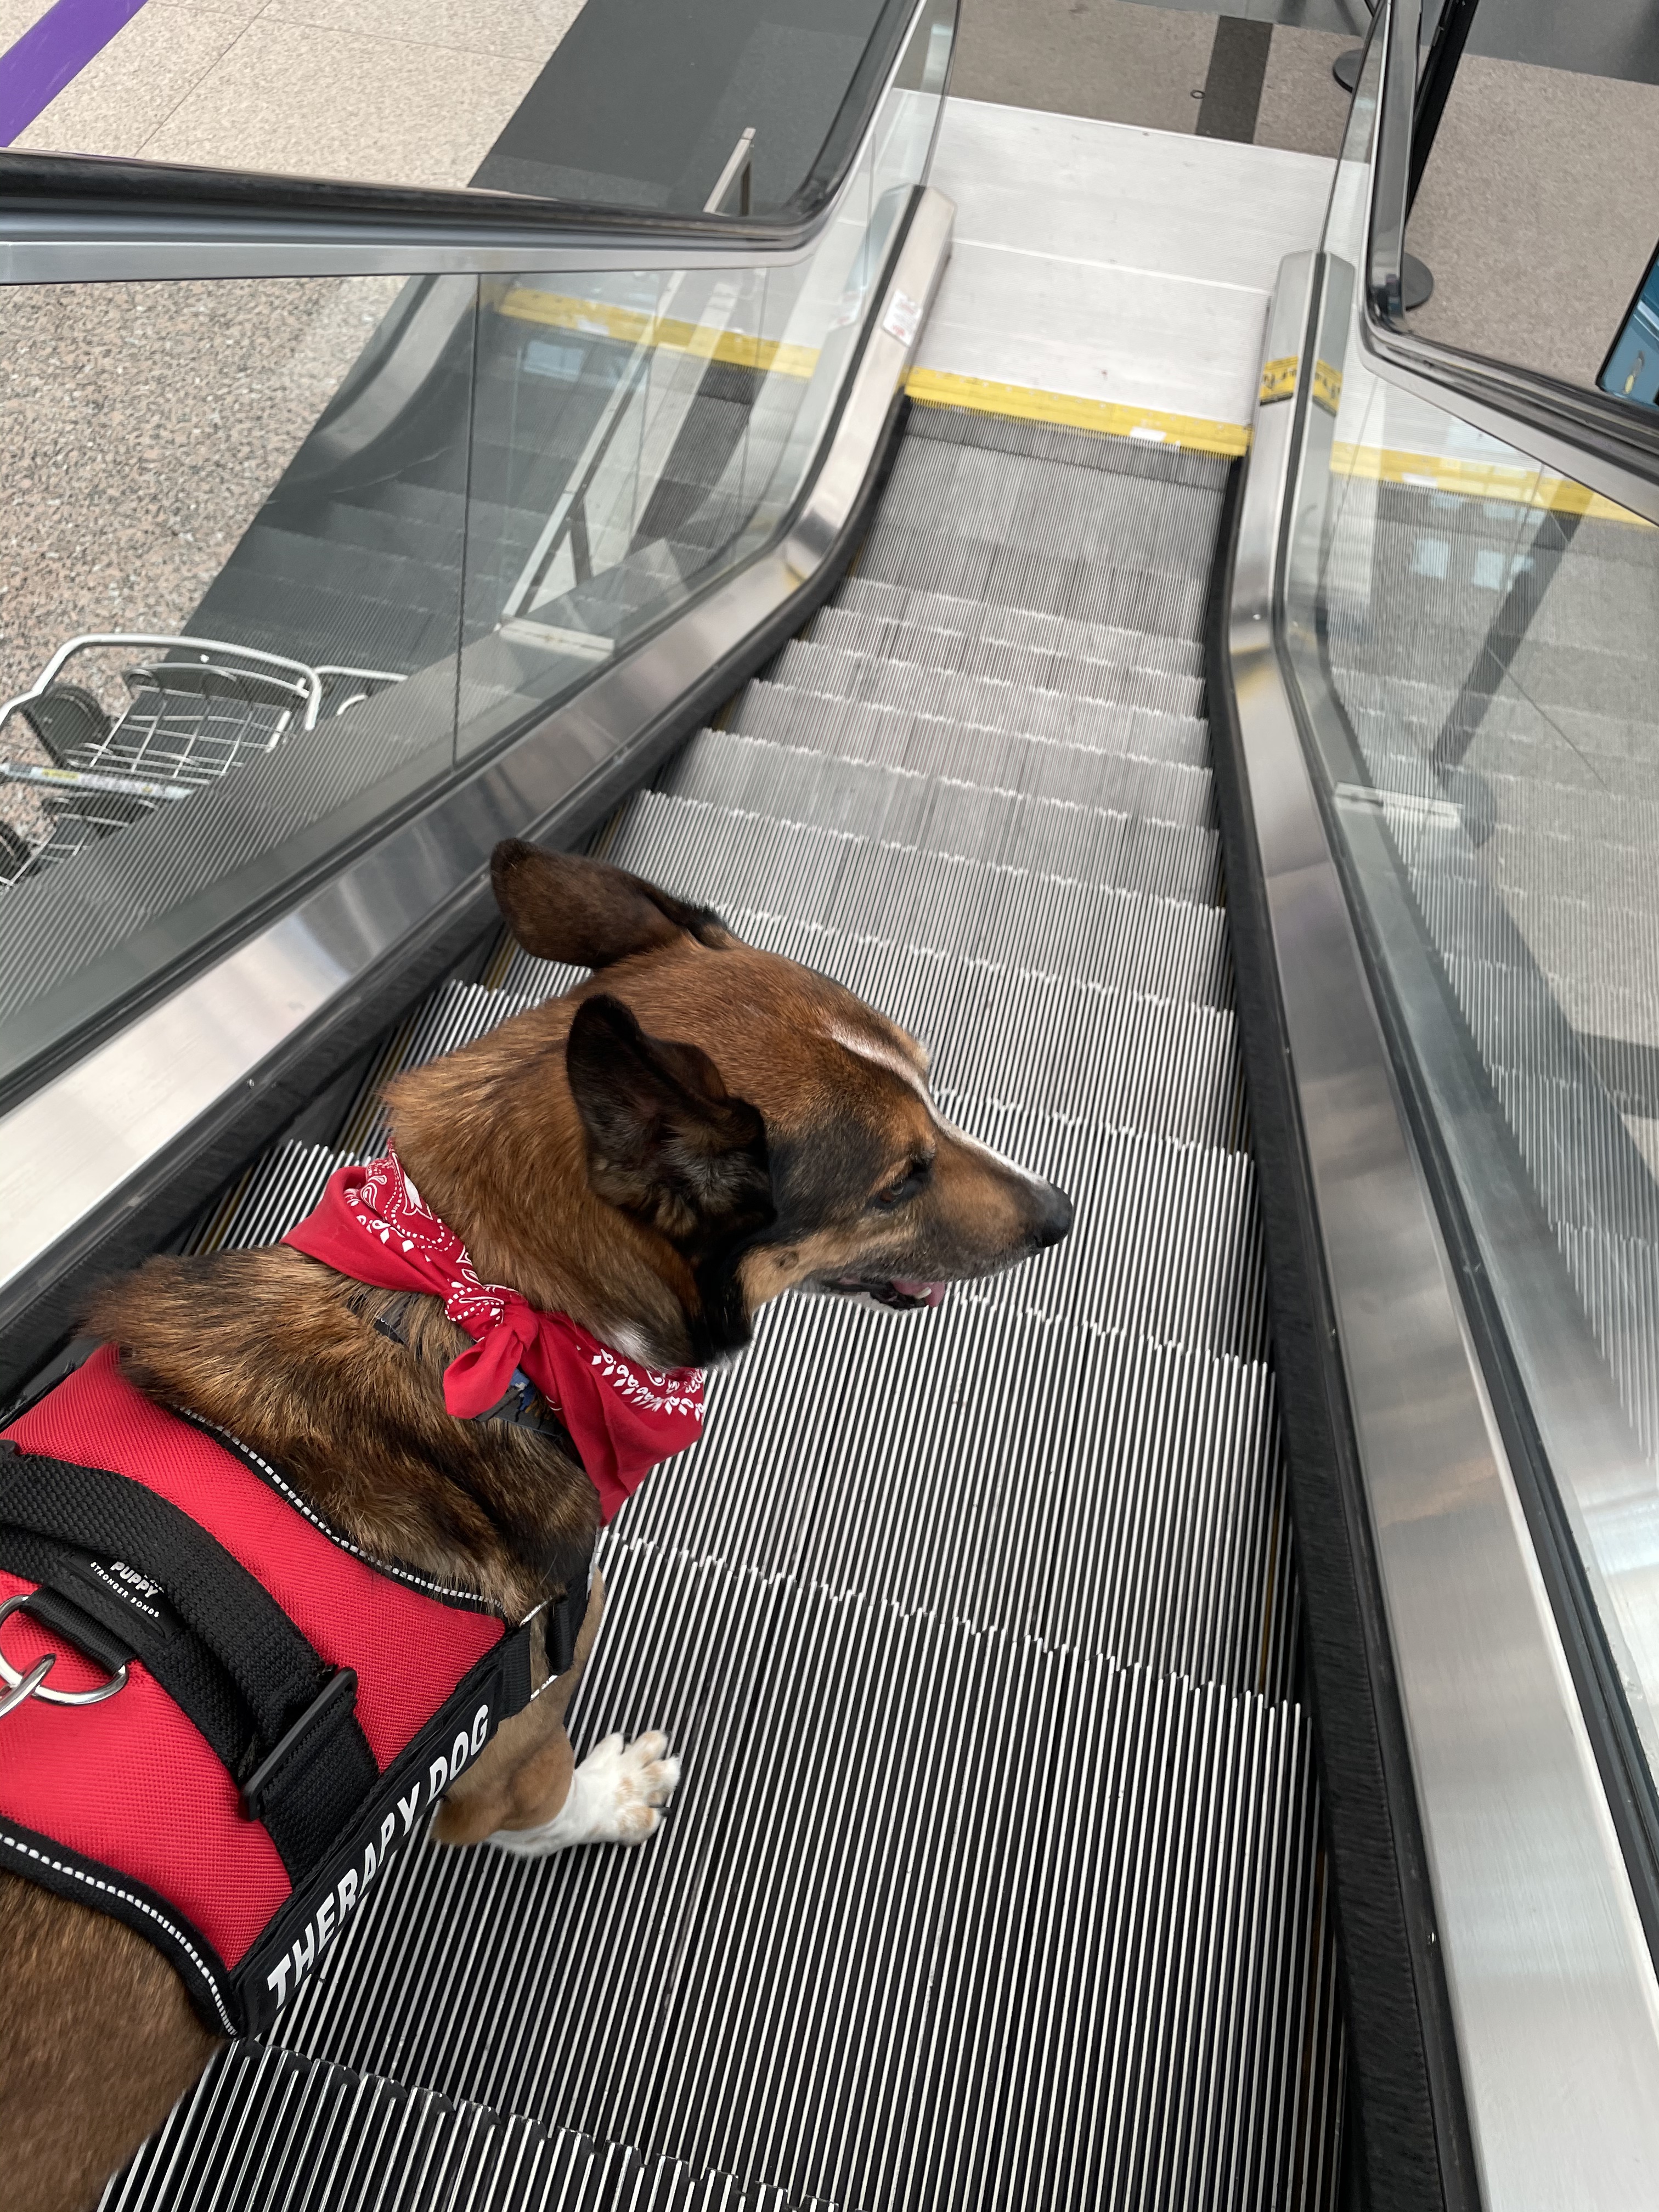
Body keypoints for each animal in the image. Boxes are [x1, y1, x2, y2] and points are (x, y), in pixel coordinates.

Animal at [1, 838, 1072, 2212]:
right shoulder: (506, 1744)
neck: (479, 1297)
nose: (1059, 1213)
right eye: (900, 1179)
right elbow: (546, 1799)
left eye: (934, 1098)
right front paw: (610, 1797)